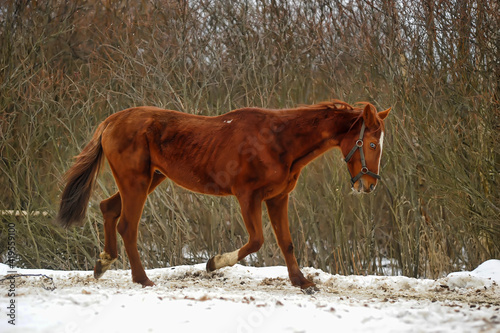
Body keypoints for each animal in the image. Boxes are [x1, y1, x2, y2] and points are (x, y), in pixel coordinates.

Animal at [55, 100, 390, 290]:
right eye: (372, 144)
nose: (368, 185)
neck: (278, 141)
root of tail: (111, 122)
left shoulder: (277, 198)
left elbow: (287, 242)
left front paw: (302, 282)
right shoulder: (247, 197)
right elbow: (256, 241)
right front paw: (213, 263)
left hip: (148, 179)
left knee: (108, 208)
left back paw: (103, 262)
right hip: (136, 181)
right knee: (127, 225)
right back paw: (142, 279)